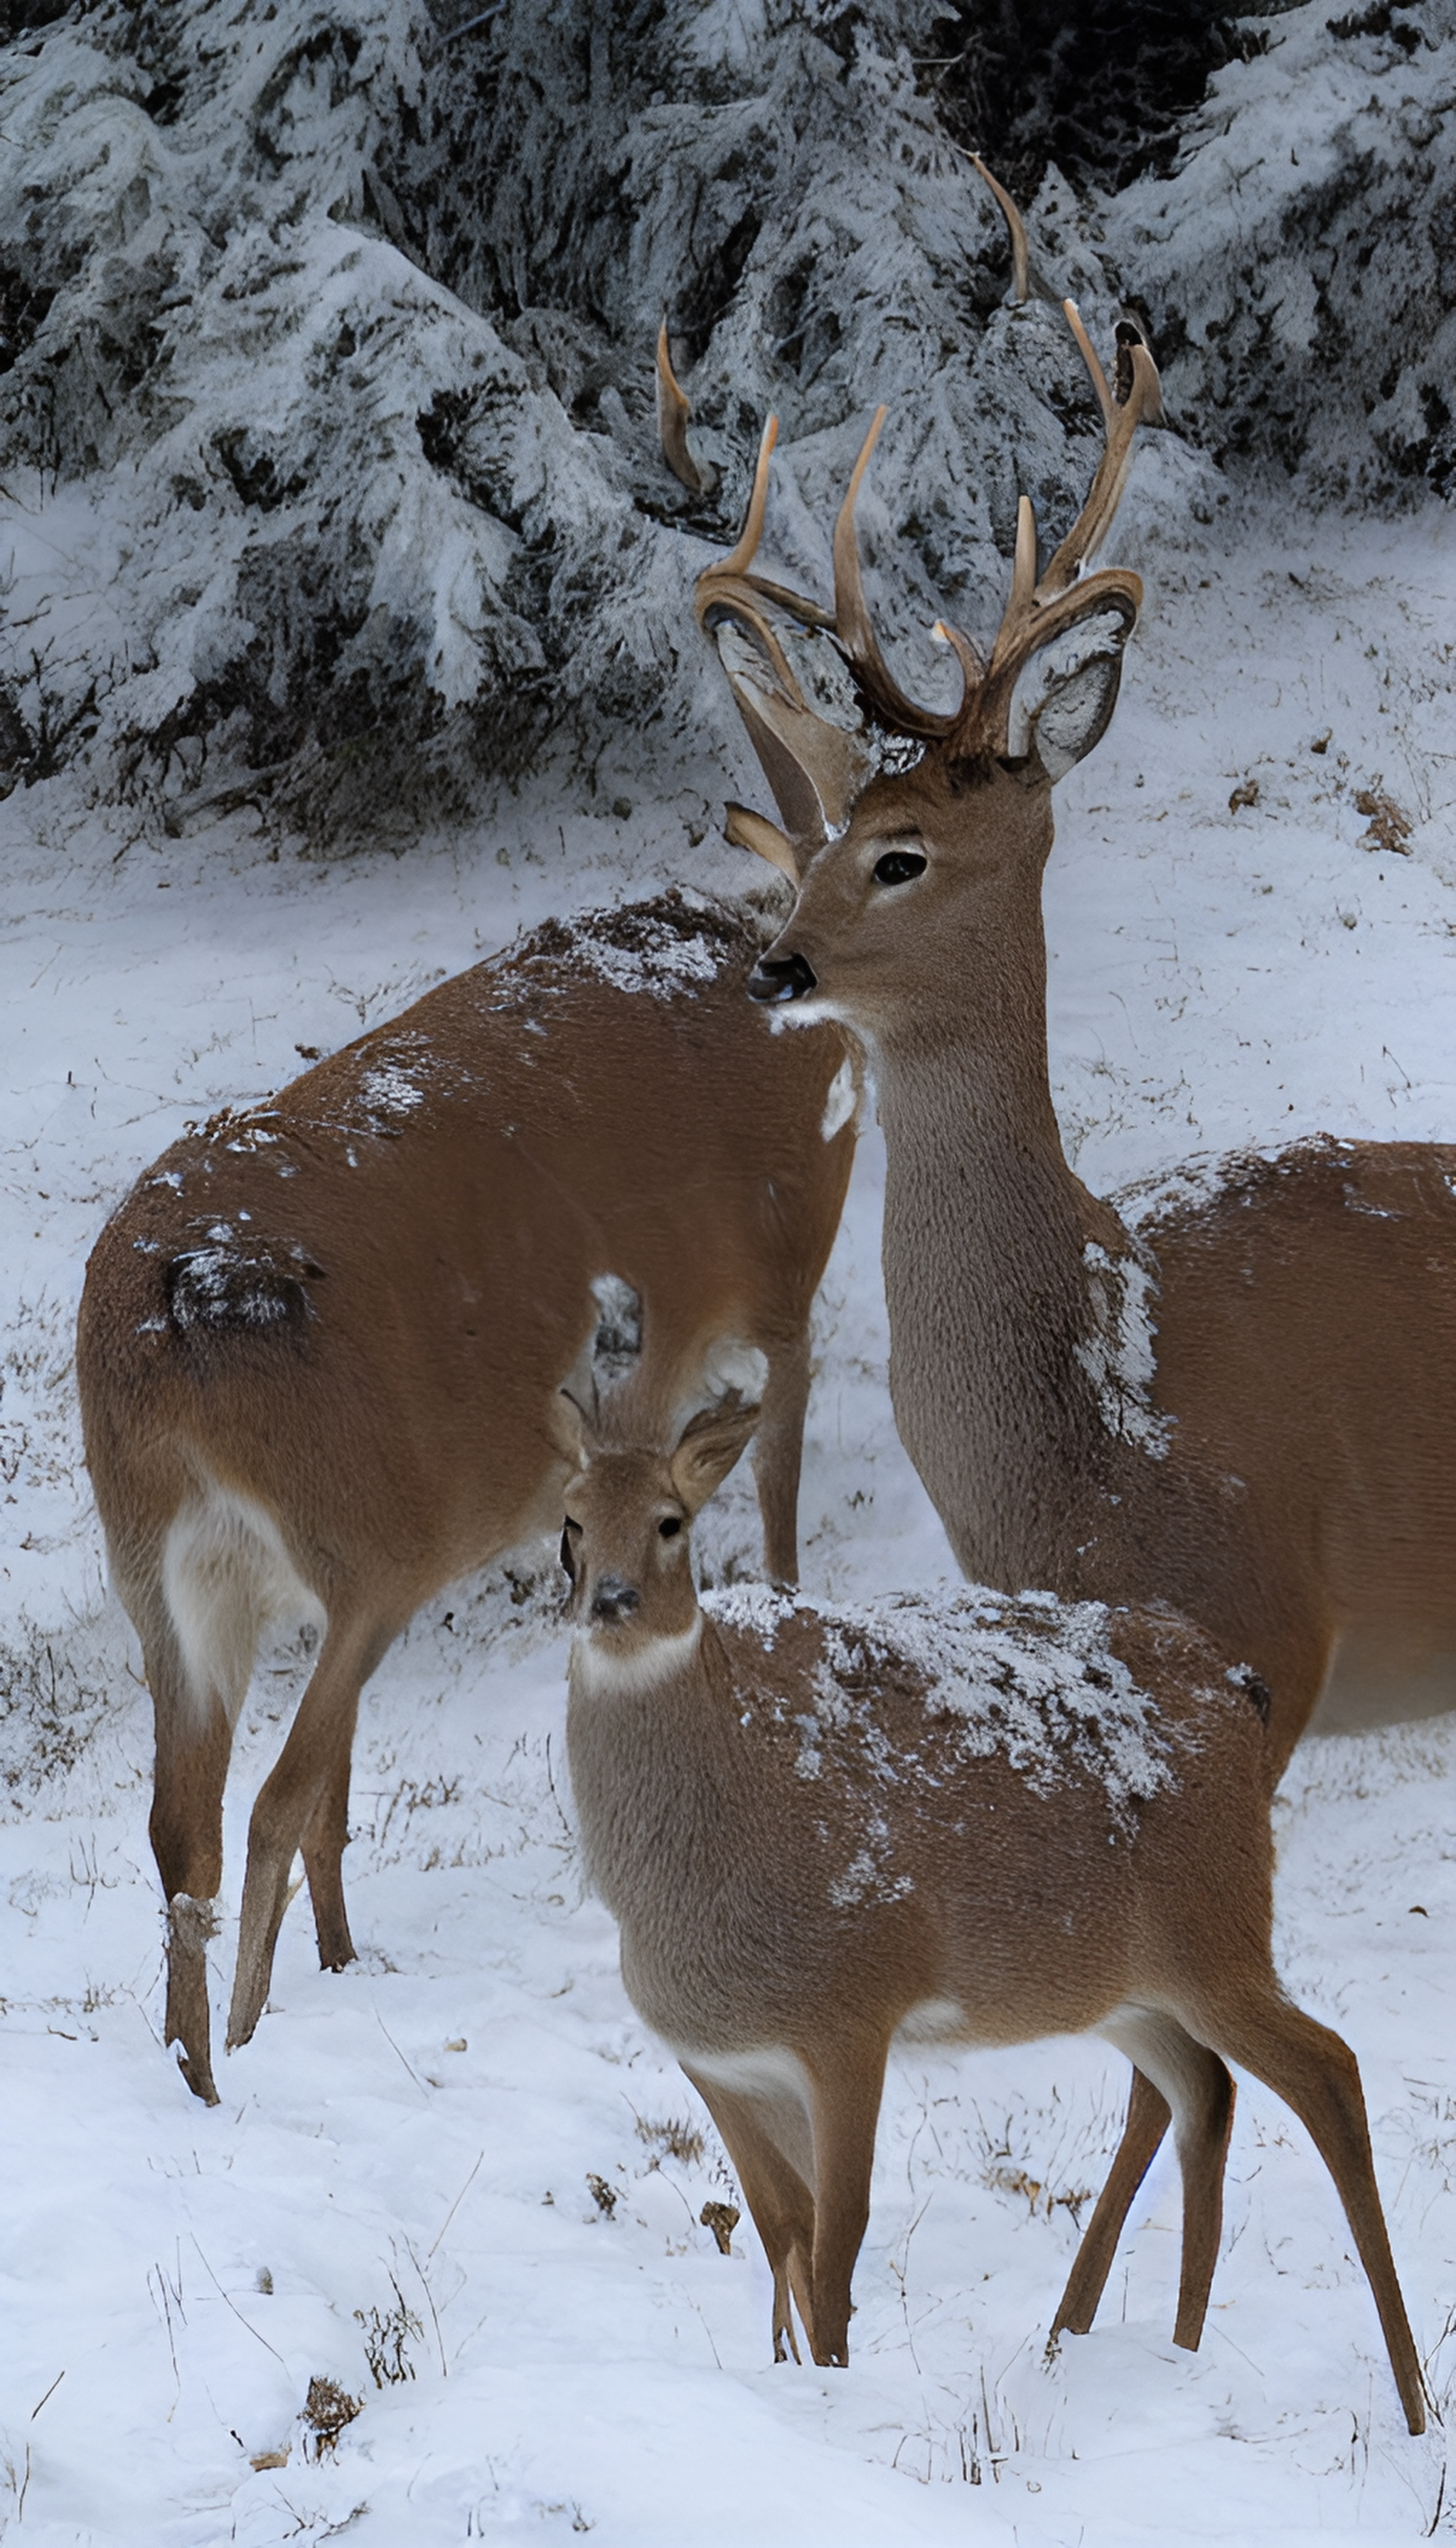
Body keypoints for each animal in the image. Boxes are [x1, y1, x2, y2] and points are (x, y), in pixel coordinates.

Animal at [77, 896, 857, 2109]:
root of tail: (183, 1318)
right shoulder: (781, 1295)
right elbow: (775, 1493)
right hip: (371, 1540)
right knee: (275, 1797)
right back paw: (246, 2038)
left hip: (169, 1577)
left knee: (189, 1824)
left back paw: (197, 2072)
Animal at [558, 1324, 1428, 2436]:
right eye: (572, 1521)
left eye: (672, 1523)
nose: (611, 1600)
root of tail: (1243, 1690)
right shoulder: (718, 2062)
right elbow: (783, 2235)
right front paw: (794, 2387)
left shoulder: (851, 2011)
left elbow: (838, 2242)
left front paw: (836, 2402)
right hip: (1124, 1980)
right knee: (1200, 2086)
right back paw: (1150, 2350)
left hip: (1219, 1926)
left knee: (1325, 2069)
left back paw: (1409, 2400)